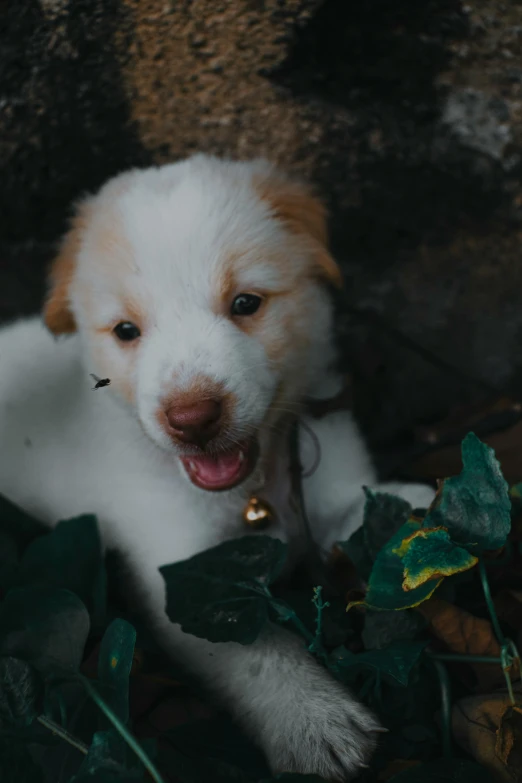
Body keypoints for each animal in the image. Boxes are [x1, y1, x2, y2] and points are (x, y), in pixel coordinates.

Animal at [0, 156, 430, 780]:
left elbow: (364, 507)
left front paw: (427, 513)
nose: (192, 419)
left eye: (246, 303)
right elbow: (255, 649)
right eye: (126, 331)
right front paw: (311, 719)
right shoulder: (184, 575)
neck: (256, 489)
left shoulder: (323, 477)